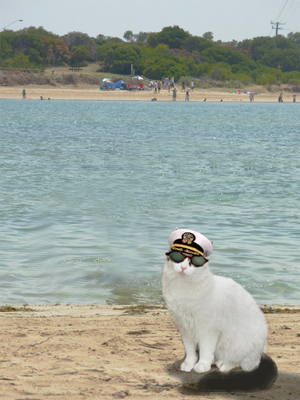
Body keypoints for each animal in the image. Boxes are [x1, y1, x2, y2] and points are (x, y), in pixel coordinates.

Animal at [163, 228, 278, 390]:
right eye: (178, 257)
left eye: (194, 262)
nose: (184, 267)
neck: (183, 288)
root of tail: (260, 352)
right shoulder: (185, 328)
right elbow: (190, 350)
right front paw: (188, 364)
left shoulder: (207, 329)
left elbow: (205, 349)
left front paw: (201, 365)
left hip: (238, 344)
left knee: (243, 363)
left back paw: (223, 364)